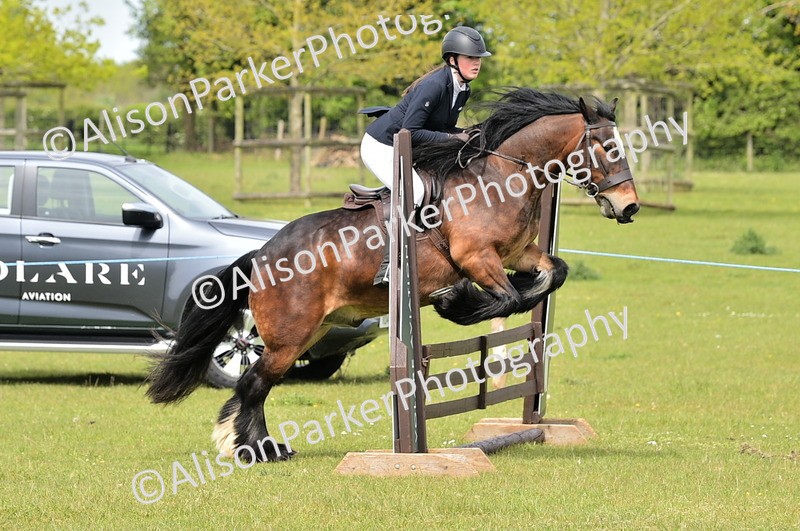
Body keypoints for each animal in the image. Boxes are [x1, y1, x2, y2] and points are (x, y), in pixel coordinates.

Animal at [146, 88, 640, 462]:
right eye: (607, 148)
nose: (629, 207)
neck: (501, 177)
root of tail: (261, 255)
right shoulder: (477, 257)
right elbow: (506, 297)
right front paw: (453, 302)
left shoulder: (520, 253)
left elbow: (553, 273)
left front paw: (500, 295)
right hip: (290, 336)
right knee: (253, 382)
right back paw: (260, 451)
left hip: (310, 332)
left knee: (257, 385)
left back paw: (253, 446)